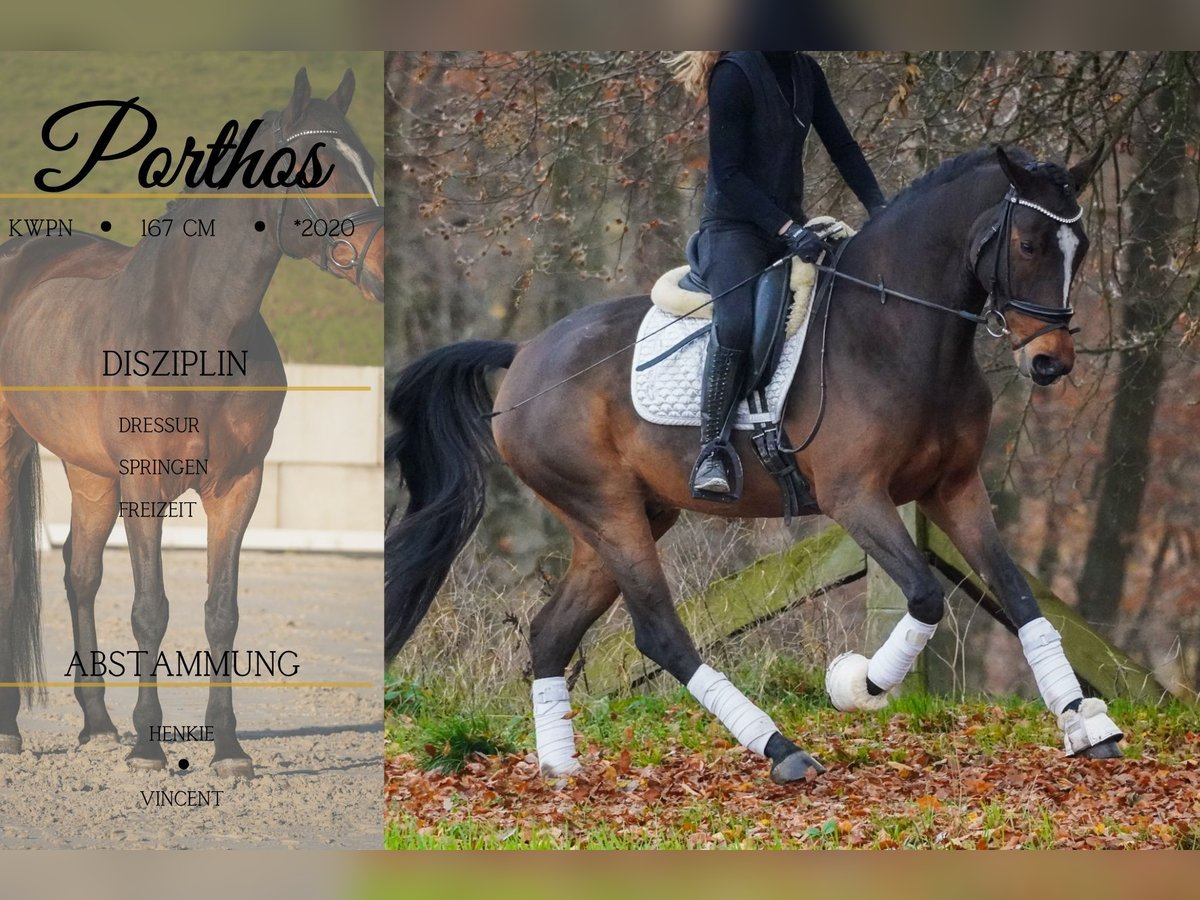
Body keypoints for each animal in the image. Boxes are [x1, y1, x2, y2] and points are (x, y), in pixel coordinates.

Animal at [0, 68, 383, 778]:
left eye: (368, 163)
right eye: (316, 171)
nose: (380, 263)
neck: (192, 330)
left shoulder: (237, 487)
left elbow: (221, 613)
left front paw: (228, 748)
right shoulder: (146, 487)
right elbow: (151, 611)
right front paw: (150, 746)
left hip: (90, 472)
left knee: (79, 571)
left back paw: (97, 725)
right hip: (10, 449)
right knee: (15, 573)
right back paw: (11, 730)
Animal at [386, 144, 1124, 785]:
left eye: (1081, 248)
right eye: (1027, 244)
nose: (1051, 362)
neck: (901, 333)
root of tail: (524, 356)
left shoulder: (955, 489)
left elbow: (1019, 597)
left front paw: (1086, 725)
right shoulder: (857, 497)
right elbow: (924, 593)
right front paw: (859, 684)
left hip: (623, 518)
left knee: (550, 634)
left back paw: (560, 770)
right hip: (608, 510)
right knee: (659, 634)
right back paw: (781, 749)